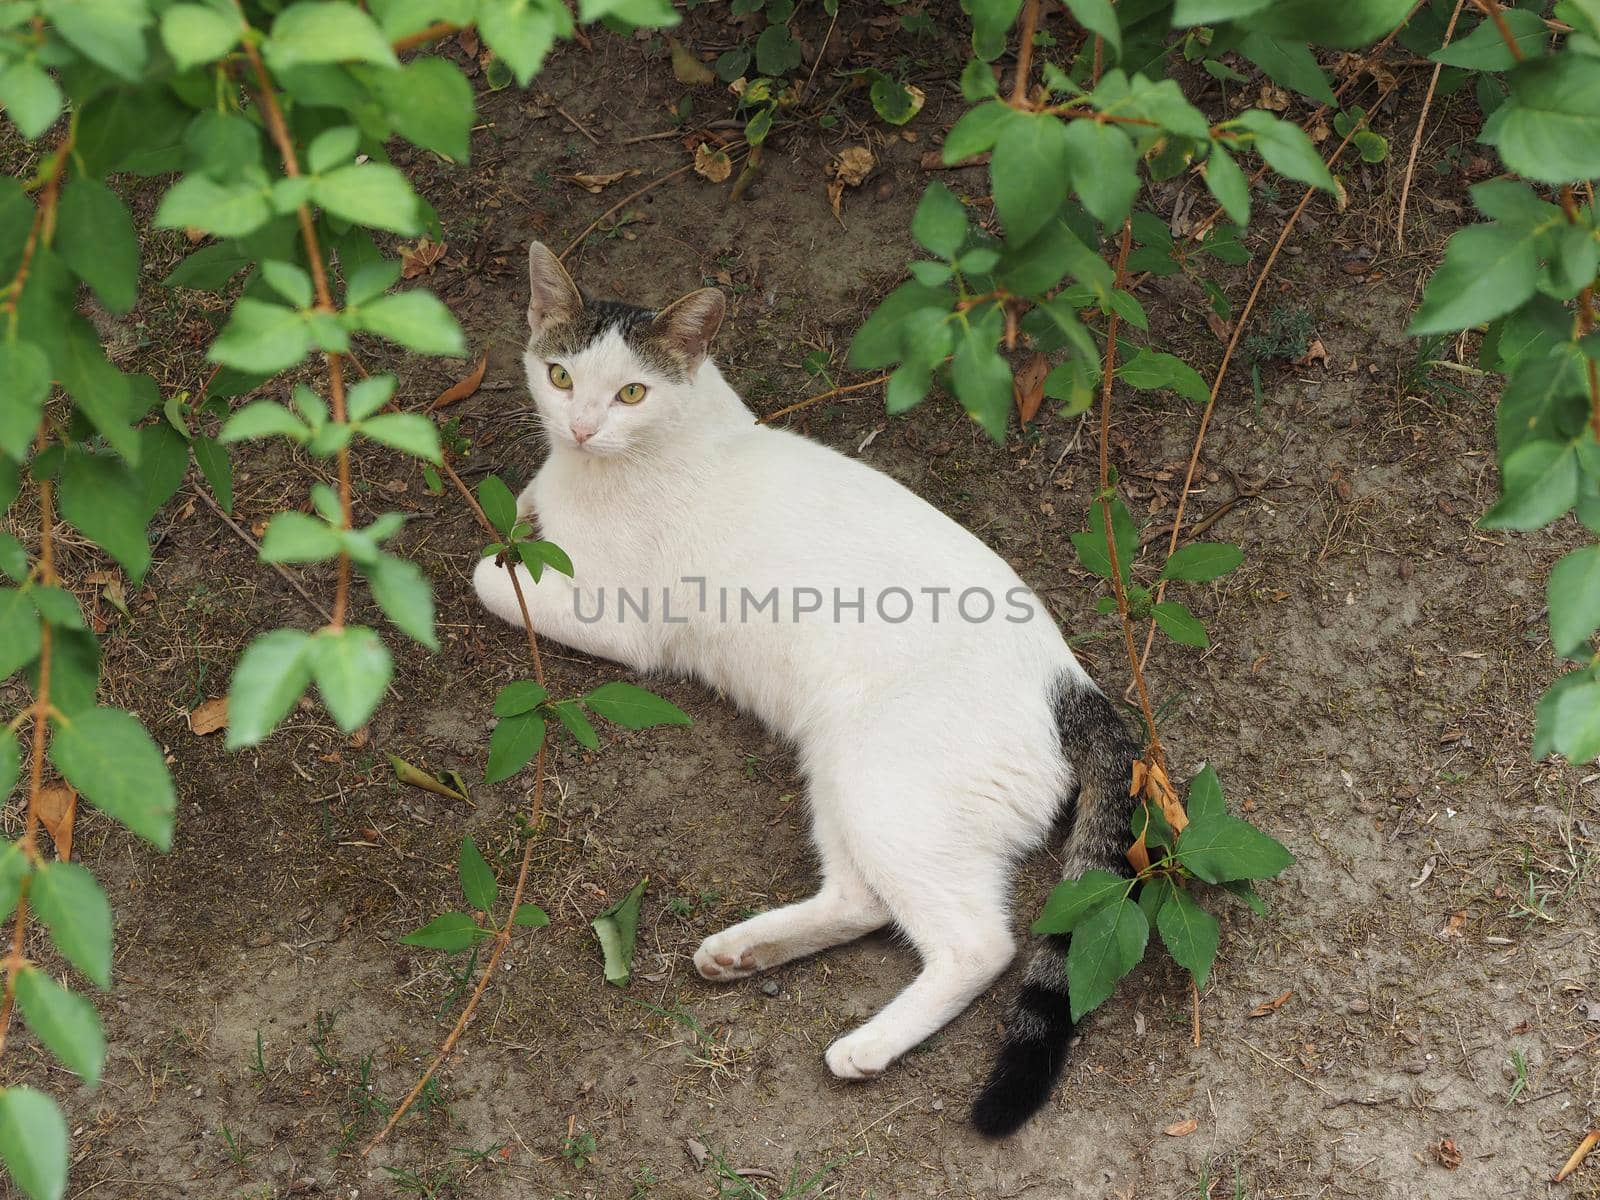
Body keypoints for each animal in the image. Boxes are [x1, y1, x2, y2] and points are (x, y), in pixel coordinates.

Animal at [473, 244, 1139, 1139]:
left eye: (632, 394)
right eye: (560, 376)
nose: (579, 427)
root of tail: (1071, 680)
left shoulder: (619, 619)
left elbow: (489, 573)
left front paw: (502, 548)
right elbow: (519, 507)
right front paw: (525, 502)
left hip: (883, 783)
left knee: (979, 944)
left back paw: (864, 1046)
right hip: (836, 768)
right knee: (863, 900)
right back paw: (742, 951)